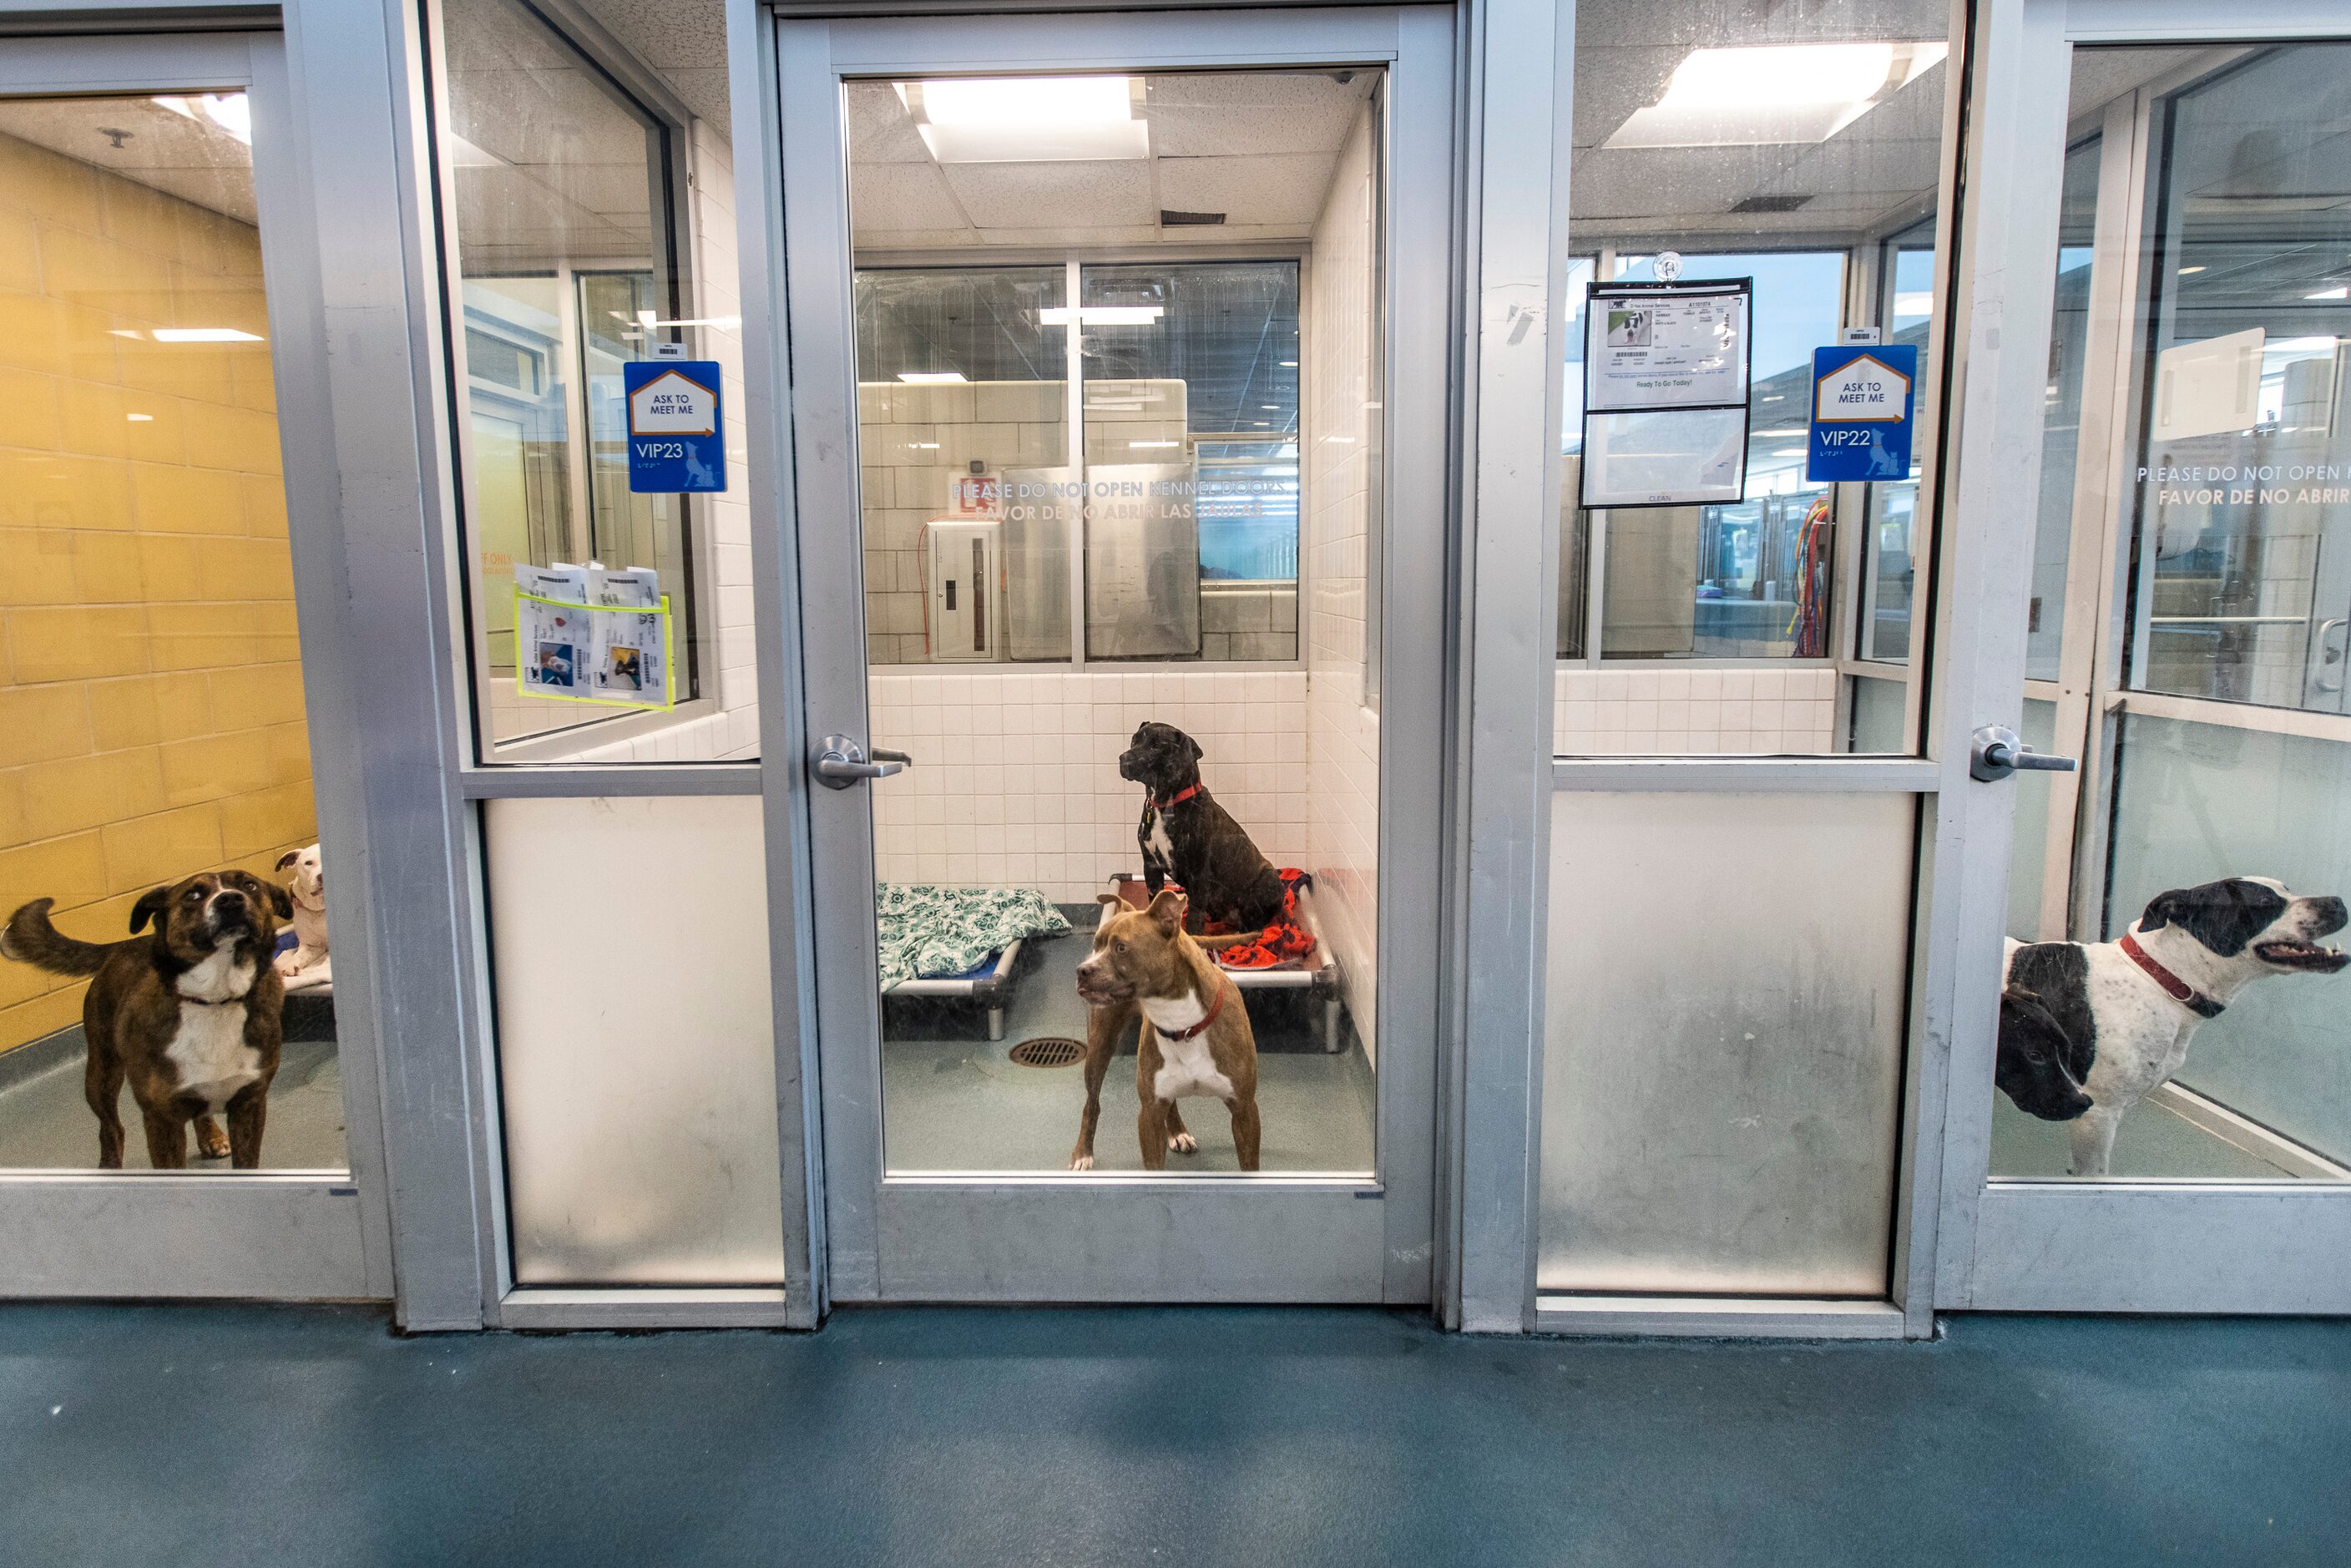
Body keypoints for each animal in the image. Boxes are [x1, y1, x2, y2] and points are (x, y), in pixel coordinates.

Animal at [276, 846, 333, 992]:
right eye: (309, 863)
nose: (322, 876)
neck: (319, 910)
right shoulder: (311, 946)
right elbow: (298, 957)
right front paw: (289, 966)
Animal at [1072, 888, 1260, 1171]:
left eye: (1121, 947)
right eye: (1096, 944)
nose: (1082, 970)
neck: (1182, 1024)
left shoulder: (1245, 1110)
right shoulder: (1148, 1114)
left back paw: (1177, 1131)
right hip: (1099, 1049)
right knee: (1091, 1104)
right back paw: (1082, 1153)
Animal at [1114, 719, 1288, 930]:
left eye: (1156, 746)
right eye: (1134, 740)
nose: (1123, 759)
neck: (1165, 805)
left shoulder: (1198, 875)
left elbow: (1194, 920)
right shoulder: (1151, 866)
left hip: (1270, 882)